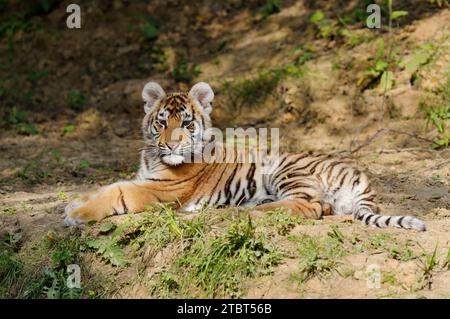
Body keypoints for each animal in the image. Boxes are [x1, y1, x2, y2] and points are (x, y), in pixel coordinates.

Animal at [62, 81, 426, 231]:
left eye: (187, 124)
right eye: (162, 123)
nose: (172, 146)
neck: (153, 158)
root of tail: (360, 174)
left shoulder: (159, 190)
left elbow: (117, 192)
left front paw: (77, 213)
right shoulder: (145, 178)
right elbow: (106, 186)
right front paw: (74, 202)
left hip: (285, 169)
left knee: (310, 206)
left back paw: (248, 212)